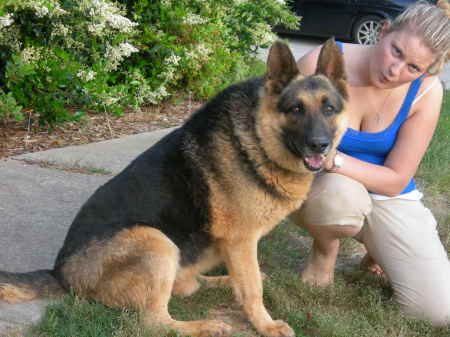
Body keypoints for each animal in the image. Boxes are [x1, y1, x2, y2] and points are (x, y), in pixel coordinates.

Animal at [0, 39, 348, 336]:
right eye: (296, 109)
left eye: (329, 108)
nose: (320, 145)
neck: (257, 137)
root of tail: (60, 272)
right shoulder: (242, 241)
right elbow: (252, 290)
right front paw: (266, 325)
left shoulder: (238, 246)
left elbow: (246, 281)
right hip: (158, 242)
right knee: (155, 322)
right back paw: (204, 326)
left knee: (188, 285)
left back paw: (215, 282)